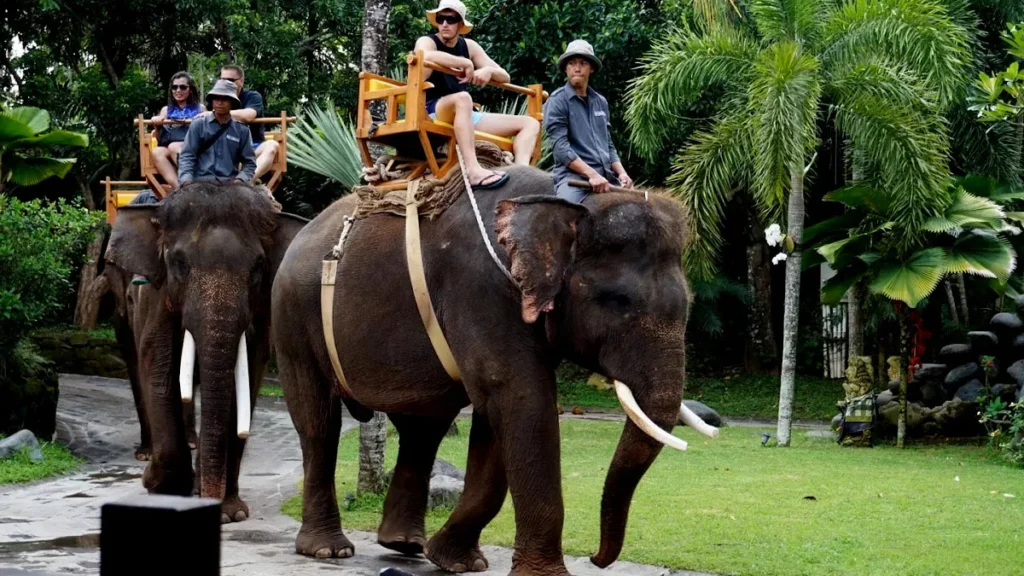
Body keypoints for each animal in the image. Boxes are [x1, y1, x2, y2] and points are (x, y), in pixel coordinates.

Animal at [104, 182, 307, 521]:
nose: (210, 501)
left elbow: (246, 377)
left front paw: (230, 513)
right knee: (136, 366)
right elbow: (158, 369)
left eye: (258, 268)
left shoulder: (261, 309)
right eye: (179, 264)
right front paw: (161, 487)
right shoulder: (156, 296)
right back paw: (147, 455)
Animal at [272, 164, 701, 575]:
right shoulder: (482, 288)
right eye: (616, 301)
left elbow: (498, 416)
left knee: (423, 430)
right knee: (319, 424)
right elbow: (521, 396)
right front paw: (541, 575)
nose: (597, 558)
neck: (559, 203)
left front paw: (455, 561)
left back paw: (404, 545)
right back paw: (329, 549)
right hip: (293, 320)